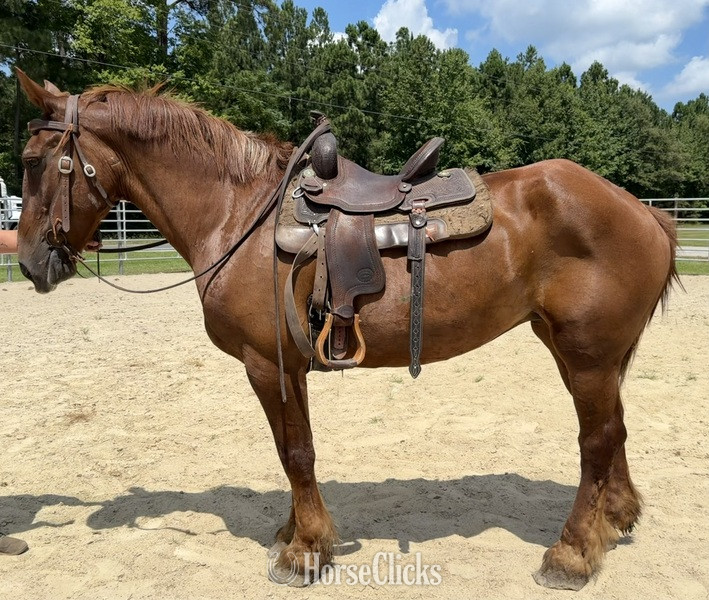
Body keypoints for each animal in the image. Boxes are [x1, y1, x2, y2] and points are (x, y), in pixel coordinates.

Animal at [15, 70, 678, 590]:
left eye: (31, 163)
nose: (28, 264)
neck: (238, 214)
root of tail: (642, 209)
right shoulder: (285, 366)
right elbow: (293, 451)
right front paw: (295, 532)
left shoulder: (267, 363)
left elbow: (295, 452)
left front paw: (305, 551)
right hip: (580, 353)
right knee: (614, 430)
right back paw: (615, 519)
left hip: (587, 355)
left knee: (596, 442)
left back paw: (571, 554)